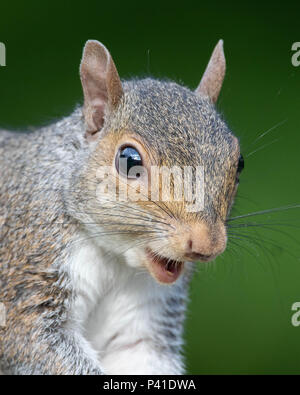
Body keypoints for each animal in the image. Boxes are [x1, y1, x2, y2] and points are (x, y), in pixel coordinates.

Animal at [0, 39, 244, 374]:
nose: (207, 245)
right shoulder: (26, 279)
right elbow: (34, 340)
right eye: (129, 160)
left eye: (239, 163)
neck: (114, 258)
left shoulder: (145, 316)